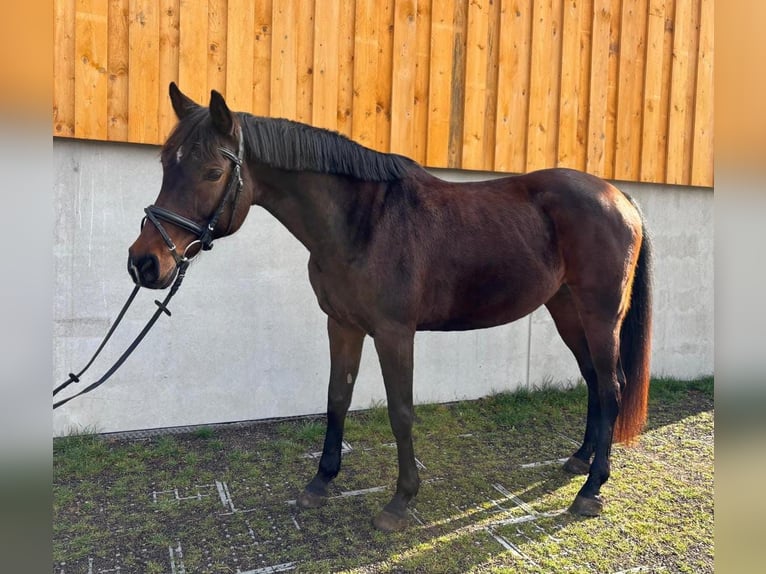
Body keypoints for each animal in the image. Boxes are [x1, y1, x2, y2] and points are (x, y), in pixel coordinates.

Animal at [128, 83, 653, 532]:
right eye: (165, 164)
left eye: (213, 173)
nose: (144, 263)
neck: (362, 223)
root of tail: (618, 196)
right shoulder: (342, 324)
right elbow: (336, 397)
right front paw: (321, 482)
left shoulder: (394, 332)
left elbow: (400, 411)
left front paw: (401, 501)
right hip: (566, 310)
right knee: (593, 380)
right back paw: (580, 460)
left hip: (601, 314)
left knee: (611, 385)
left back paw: (591, 488)